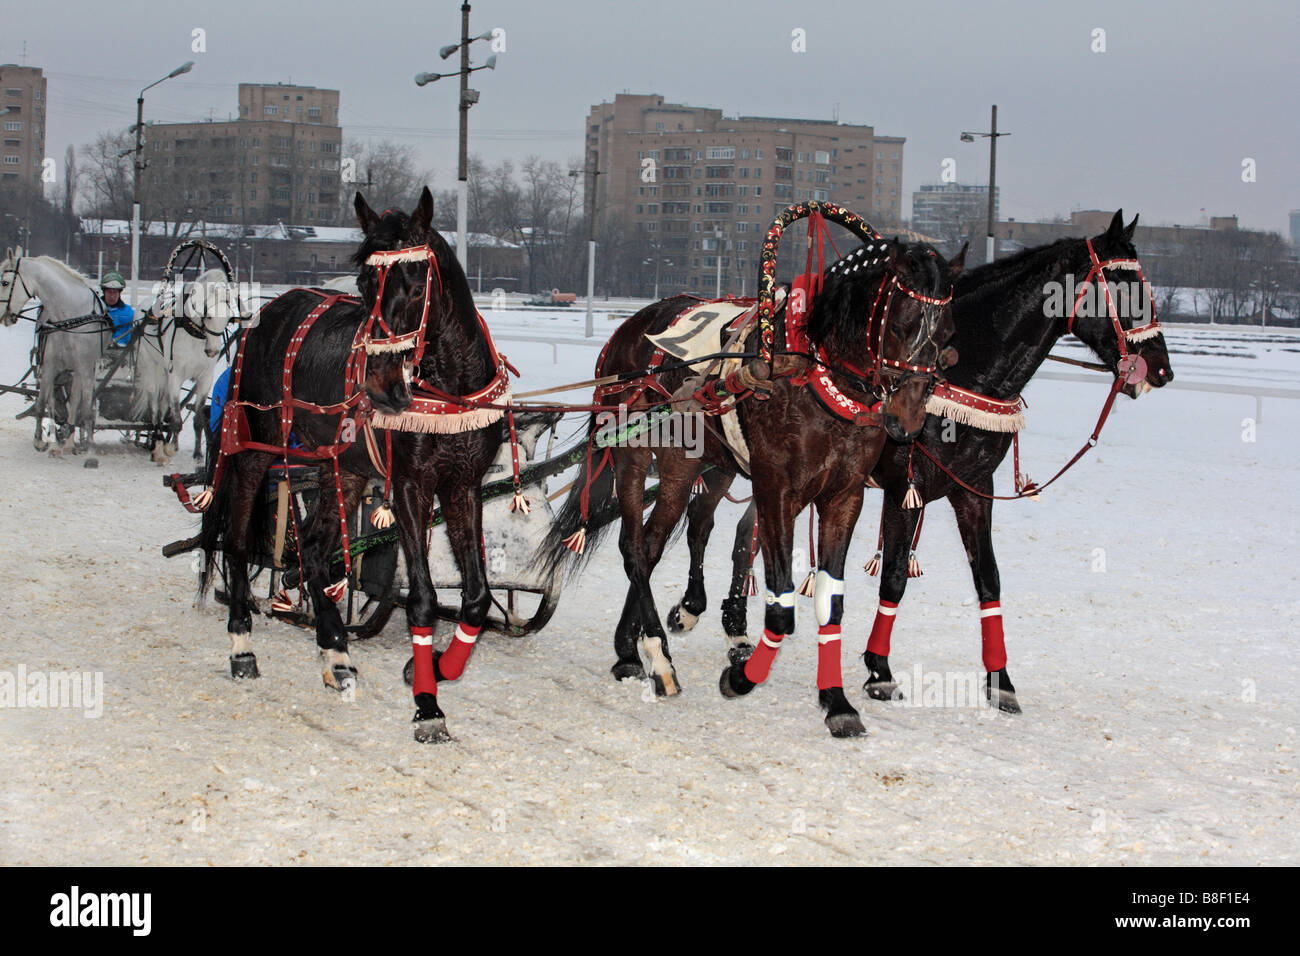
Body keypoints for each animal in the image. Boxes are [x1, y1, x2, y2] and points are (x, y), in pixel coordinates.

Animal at [0, 247, 109, 455]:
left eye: (5, 282)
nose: (3, 316)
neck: (69, 317)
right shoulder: (50, 365)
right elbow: (43, 402)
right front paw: (39, 440)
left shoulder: (86, 367)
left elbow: (85, 407)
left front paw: (89, 445)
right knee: (58, 401)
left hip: (80, 371)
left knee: (76, 401)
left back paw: (71, 439)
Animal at [134, 267, 241, 465]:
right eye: (208, 315)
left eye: (228, 317)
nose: (213, 351)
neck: (194, 334)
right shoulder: (175, 376)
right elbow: (176, 418)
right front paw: (169, 448)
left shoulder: (205, 378)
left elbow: (198, 419)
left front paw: (197, 453)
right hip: (150, 366)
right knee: (154, 409)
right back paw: (155, 442)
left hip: (164, 373)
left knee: (162, 407)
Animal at [195, 184, 504, 738]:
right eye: (364, 282)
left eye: (416, 283)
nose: (380, 386)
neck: (447, 388)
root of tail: (263, 317)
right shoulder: (410, 484)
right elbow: (423, 599)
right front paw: (428, 704)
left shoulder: (462, 483)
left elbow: (475, 597)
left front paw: (438, 667)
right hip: (256, 448)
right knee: (237, 540)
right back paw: (242, 644)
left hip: (341, 466)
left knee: (315, 549)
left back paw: (335, 651)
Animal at [538, 235, 967, 738]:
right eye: (901, 323)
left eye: (949, 332)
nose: (908, 419)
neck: (809, 377)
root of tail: (628, 330)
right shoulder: (776, 489)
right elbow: (780, 605)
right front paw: (743, 676)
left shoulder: (844, 496)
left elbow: (829, 601)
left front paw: (836, 701)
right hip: (633, 455)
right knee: (633, 548)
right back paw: (659, 658)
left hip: (687, 464)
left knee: (654, 542)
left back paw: (630, 649)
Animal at [670, 213, 1180, 712]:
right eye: (1123, 287)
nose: (1160, 368)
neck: (960, 377)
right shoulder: (903, 489)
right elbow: (894, 578)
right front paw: (878, 669)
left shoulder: (973, 489)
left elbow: (988, 579)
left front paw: (1000, 679)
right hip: (719, 461)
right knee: (701, 520)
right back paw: (693, 607)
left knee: (742, 534)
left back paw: (734, 624)